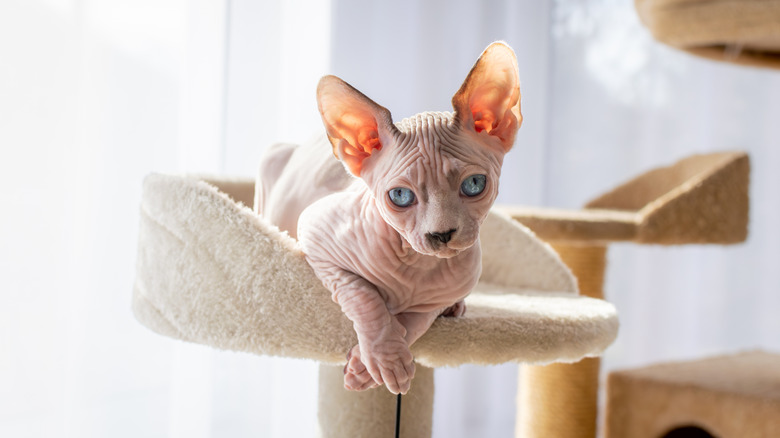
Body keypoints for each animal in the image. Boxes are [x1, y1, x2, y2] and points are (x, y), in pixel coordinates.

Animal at [258, 42, 520, 396]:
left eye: (474, 185)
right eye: (400, 196)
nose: (442, 234)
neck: (416, 265)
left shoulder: (432, 302)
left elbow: (410, 325)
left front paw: (370, 365)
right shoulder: (314, 231)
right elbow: (365, 296)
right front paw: (382, 359)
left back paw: (456, 308)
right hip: (270, 161)